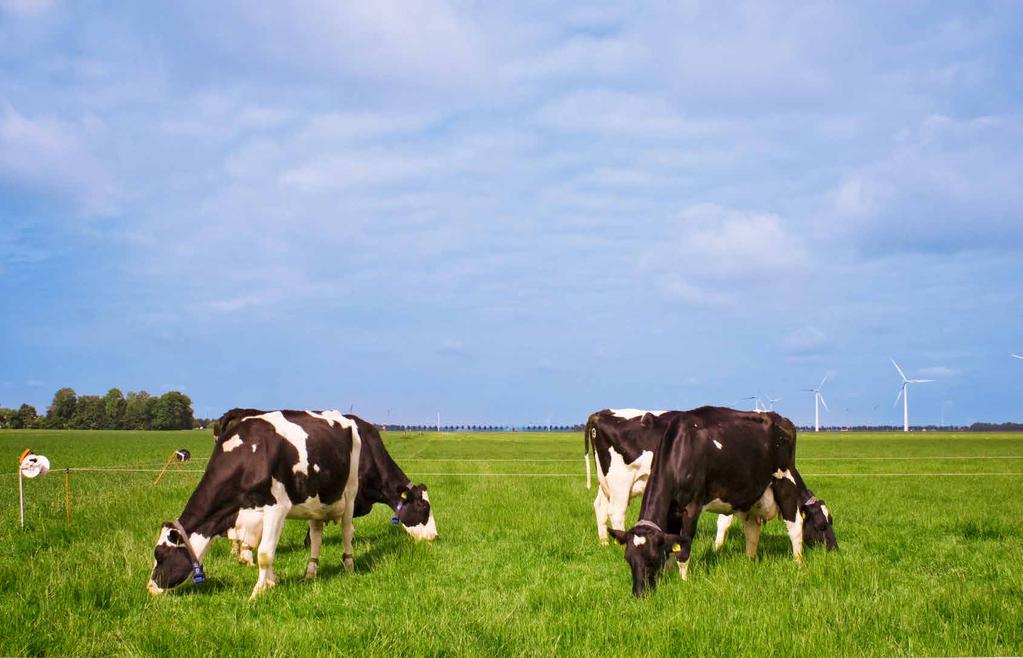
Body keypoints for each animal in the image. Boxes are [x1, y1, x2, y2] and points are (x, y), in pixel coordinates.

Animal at [148, 409, 362, 601]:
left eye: (160, 554)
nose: (149, 588)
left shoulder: (277, 508)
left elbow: (265, 553)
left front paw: (258, 592)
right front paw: (271, 582)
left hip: (350, 492)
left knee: (346, 530)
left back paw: (349, 566)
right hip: (315, 502)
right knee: (316, 536)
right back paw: (310, 572)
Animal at [609, 407, 802, 597]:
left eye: (652, 558)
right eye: (628, 559)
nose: (639, 593)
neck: (680, 450)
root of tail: (781, 419)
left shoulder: (692, 508)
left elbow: (684, 548)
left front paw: (683, 582)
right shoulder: (673, 511)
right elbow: (671, 545)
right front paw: (669, 576)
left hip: (785, 481)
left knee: (795, 525)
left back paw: (798, 563)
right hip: (754, 494)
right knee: (752, 529)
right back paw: (749, 560)